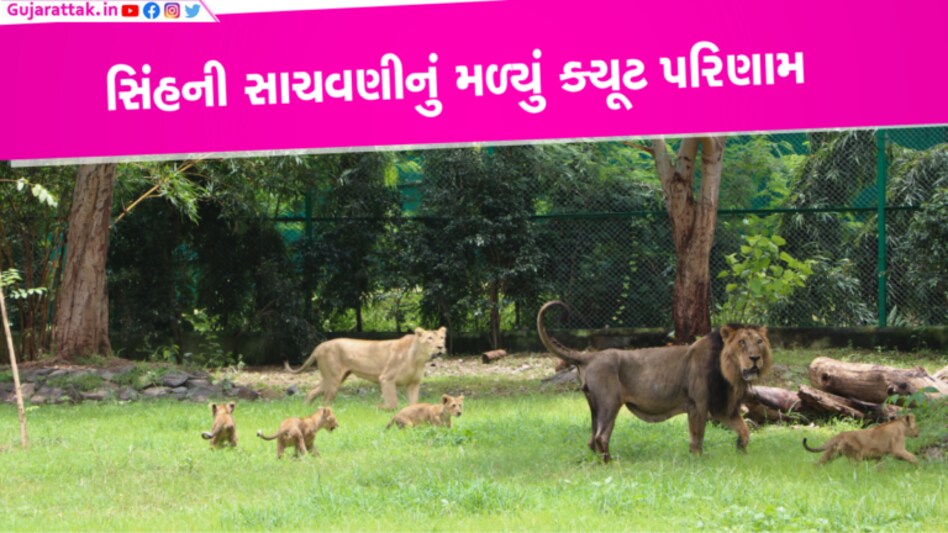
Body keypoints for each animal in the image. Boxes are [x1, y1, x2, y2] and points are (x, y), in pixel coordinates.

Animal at [285, 327, 447, 410]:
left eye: (442, 338)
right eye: (430, 338)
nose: (441, 347)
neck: (419, 359)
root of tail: (320, 346)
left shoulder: (414, 383)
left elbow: (414, 403)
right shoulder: (386, 378)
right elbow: (392, 403)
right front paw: (379, 407)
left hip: (334, 378)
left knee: (313, 391)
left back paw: (305, 408)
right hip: (333, 378)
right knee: (325, 400)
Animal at [537, 300, 772, 462]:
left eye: (759, 342)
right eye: (742, 343)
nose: (755, 358)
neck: (729, 372)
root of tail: (590, 356)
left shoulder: (722, 407)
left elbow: (744, 430)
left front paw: (741, 452)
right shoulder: (697, 404)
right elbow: (697, 437)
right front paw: (697, 460)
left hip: (595, 406)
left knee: (592, 439)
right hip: (609, 403)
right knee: (601, 437)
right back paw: (612, 465)